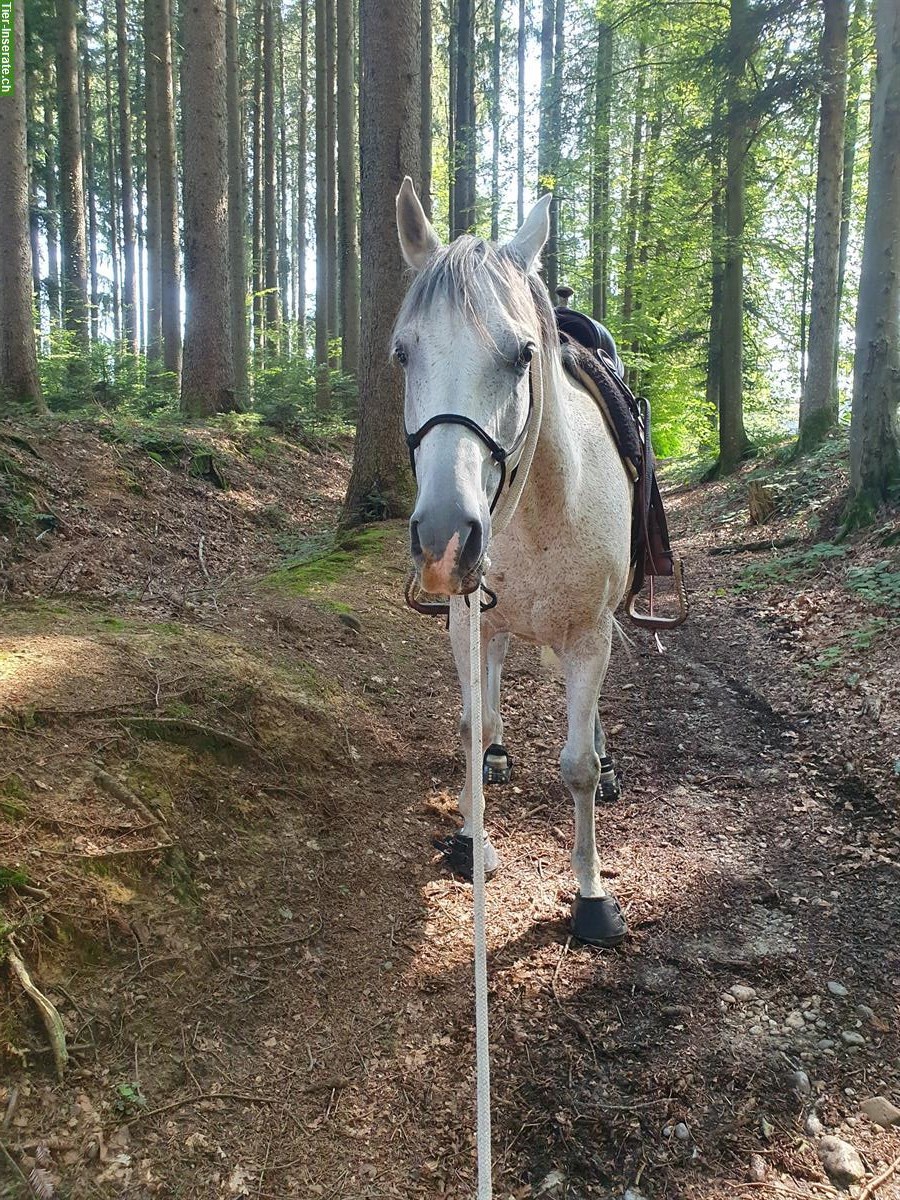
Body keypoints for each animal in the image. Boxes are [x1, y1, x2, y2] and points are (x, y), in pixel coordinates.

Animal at [393, 177, 633, 945]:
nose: (445, 538)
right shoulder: (467, 618)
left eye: (524, 355)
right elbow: (473, 726)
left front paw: (591, 893)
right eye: (403, 354)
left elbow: (577, 765)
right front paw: (473, 837)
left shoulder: (589, 636)